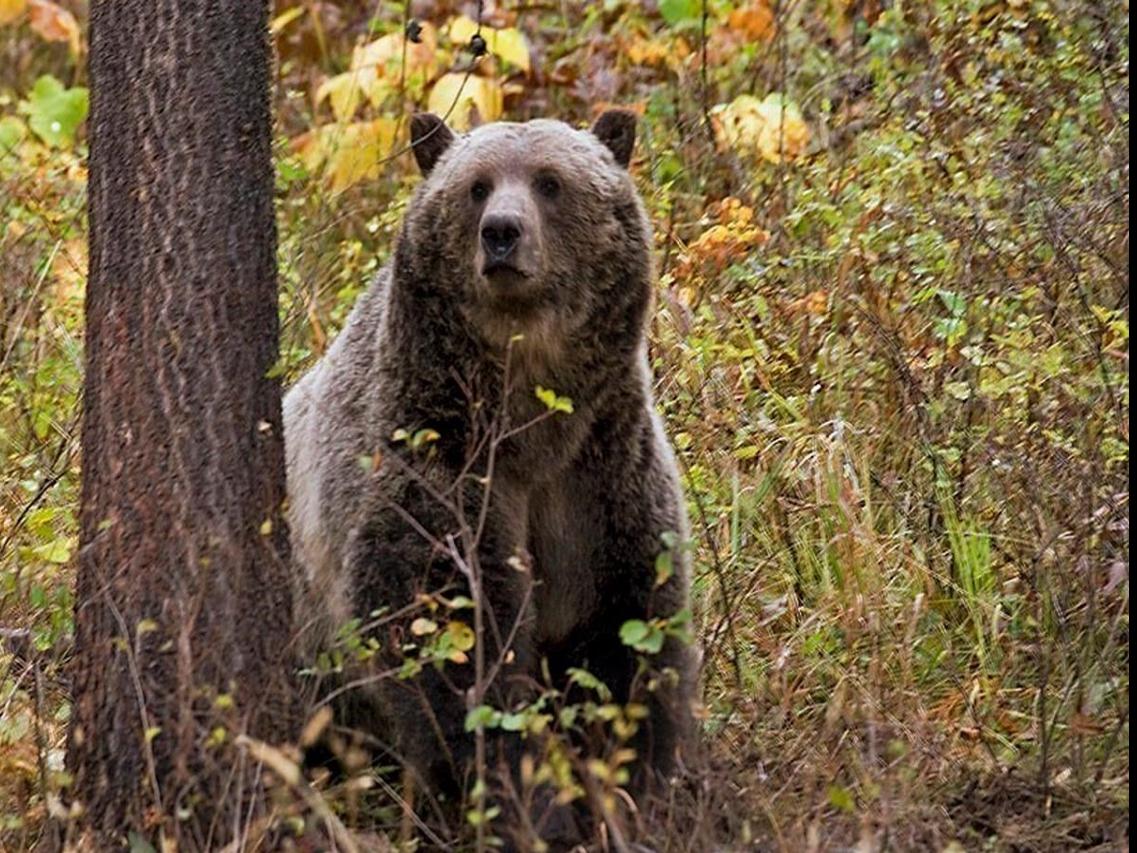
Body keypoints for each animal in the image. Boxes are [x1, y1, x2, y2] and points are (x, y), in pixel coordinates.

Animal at [284, 110, 691, 837]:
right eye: (476, 186)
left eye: (550, 181)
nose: (501, 231)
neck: (530, 418)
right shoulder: (439, 462)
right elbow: (452, 642)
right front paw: (523, 803)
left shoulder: (602, 475)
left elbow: (627, 636)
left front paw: (628, 788)